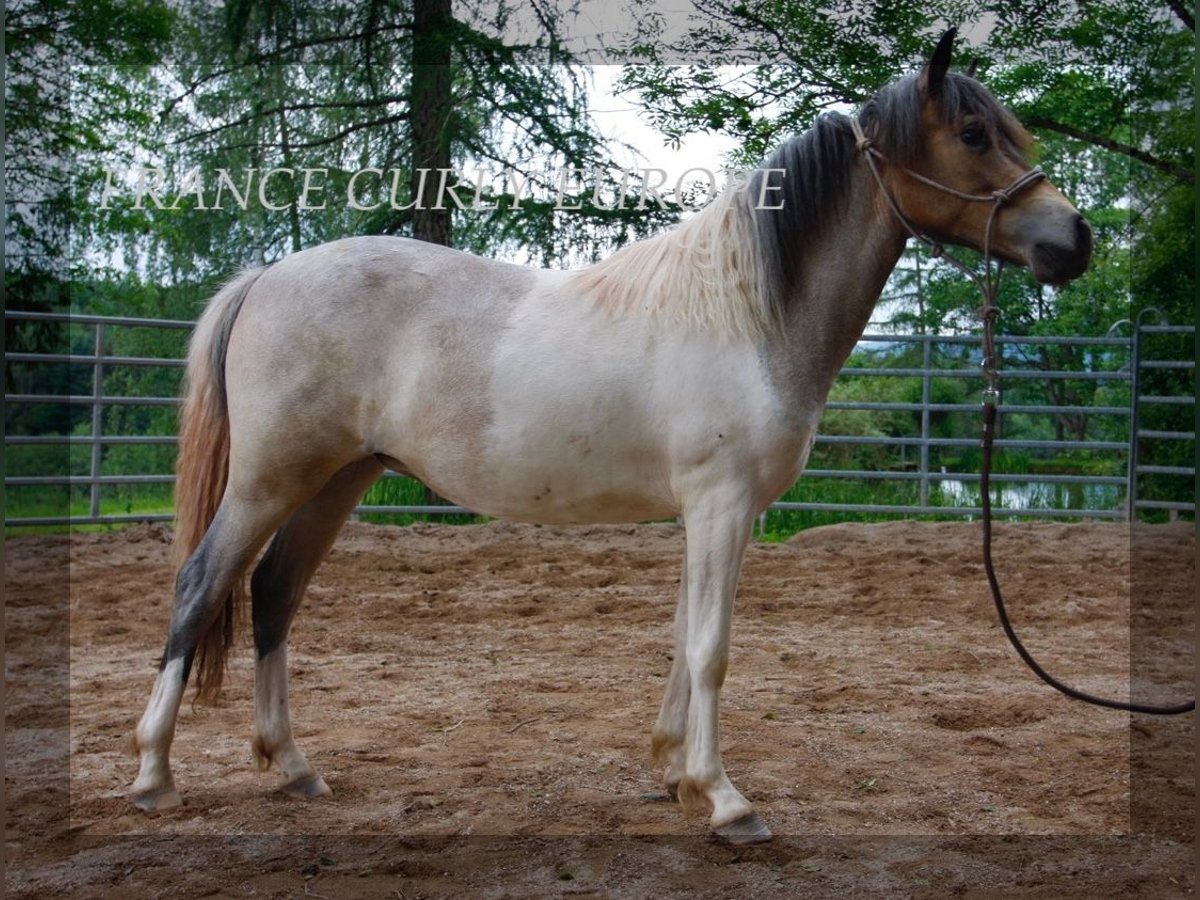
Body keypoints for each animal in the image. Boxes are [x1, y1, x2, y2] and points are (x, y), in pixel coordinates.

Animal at [129, 30, 1089, 844]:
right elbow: (711, 649)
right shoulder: (720, 504)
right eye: (974, 132)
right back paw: (152, 776)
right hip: (269, 479)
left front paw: (674, 774)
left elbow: (683, 639)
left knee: (273, 594)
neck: (747, 316)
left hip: (338, 479)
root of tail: (265, 277)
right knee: (200, 587)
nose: (1074, 239)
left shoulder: (715, 514)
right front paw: (727, 802)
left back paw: (293, 767)